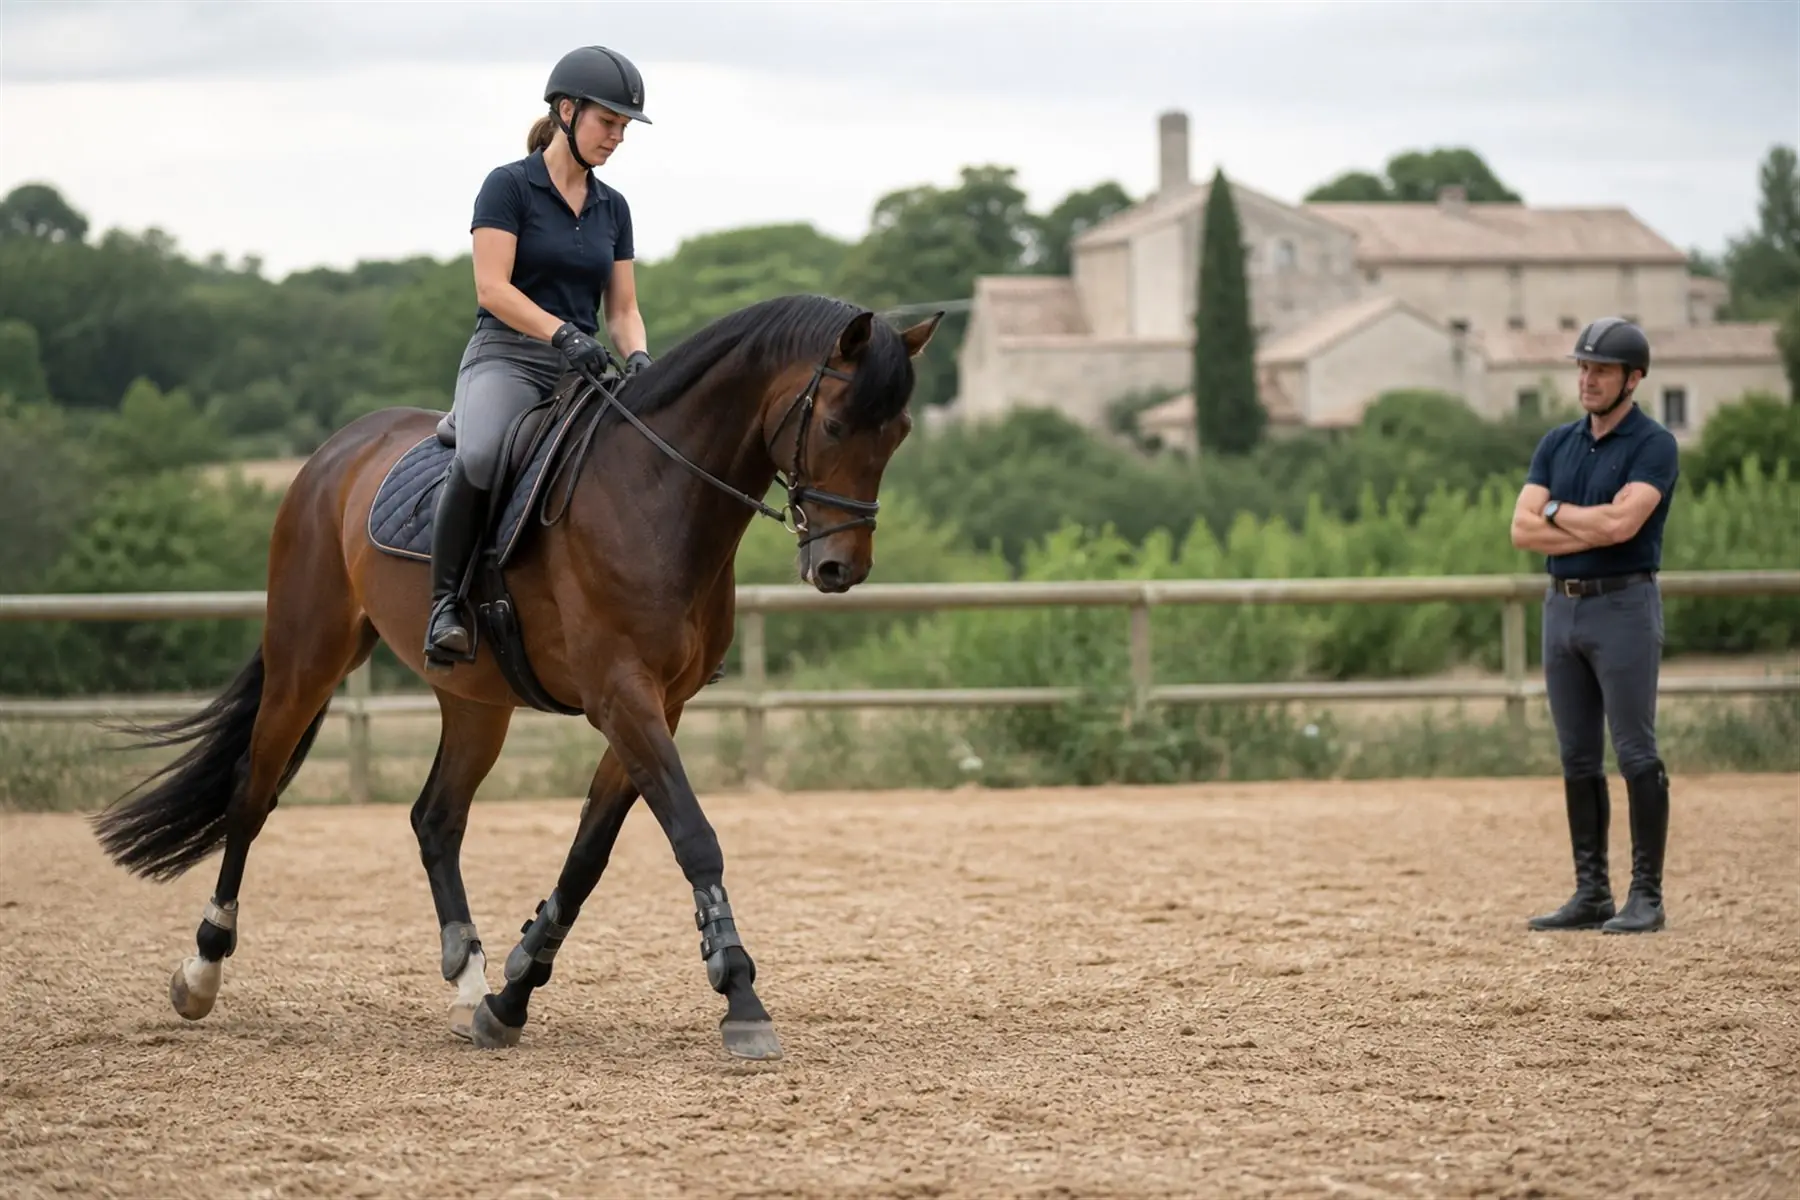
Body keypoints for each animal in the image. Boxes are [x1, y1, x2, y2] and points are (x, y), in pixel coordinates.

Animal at [89, 293, 943, 1058]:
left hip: (475, 700)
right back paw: (201, 972)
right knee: (252, 794)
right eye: (834, 425)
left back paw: (465, 980)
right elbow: (694, 837)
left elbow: (589, 855)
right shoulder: (621, 694)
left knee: (435, 818)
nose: (840, 568)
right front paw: (739, 992)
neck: (657, 494)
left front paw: (512, 990)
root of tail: (336, 451)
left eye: (899, 433)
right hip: (308, 658)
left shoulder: (658, 704)